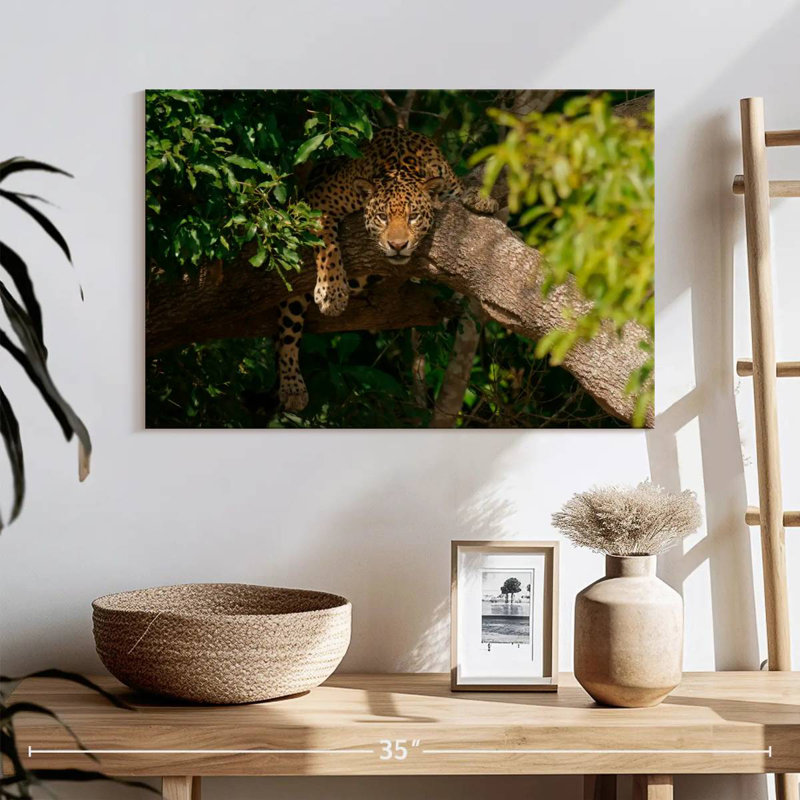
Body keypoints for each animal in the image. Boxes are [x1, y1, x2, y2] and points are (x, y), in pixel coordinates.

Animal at [277, 126, 499, 412]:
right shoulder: (317, 202)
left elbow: (461, 190)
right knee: (287, 334)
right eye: (382, 217)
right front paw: (332, 292)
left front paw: (481, 199)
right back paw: (292, 386)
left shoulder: (447, 182)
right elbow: (328, 246)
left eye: (413, 217)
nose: (398, 246)